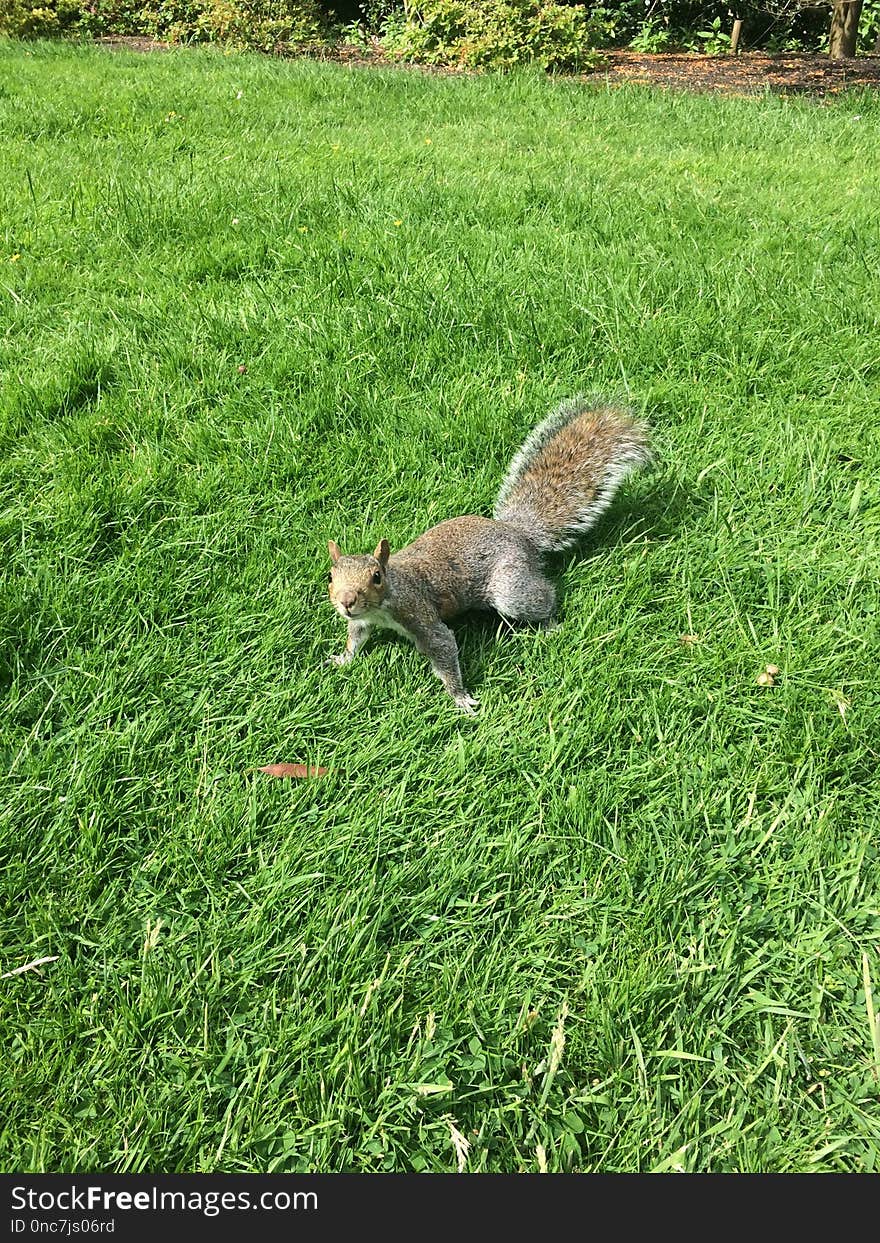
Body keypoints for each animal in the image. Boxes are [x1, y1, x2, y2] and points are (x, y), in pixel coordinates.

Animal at [325, 392, 651, 715]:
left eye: (376, 577)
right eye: (330, 576)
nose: (346, 601)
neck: (384, 602)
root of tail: (519, 533)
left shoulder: (418, 613)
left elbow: (444, 647)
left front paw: (460, 697)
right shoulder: (361, 621)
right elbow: (355, 638)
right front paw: (342, 659)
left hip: (511, 587)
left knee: (543, 596)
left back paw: (550, 624)